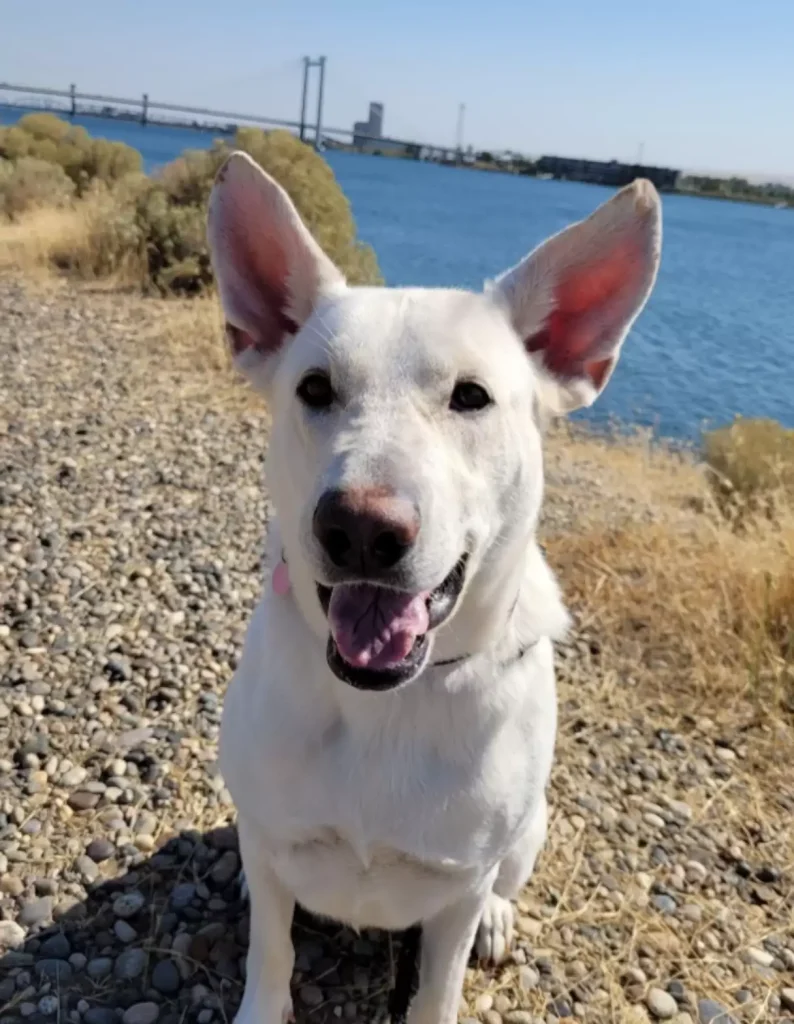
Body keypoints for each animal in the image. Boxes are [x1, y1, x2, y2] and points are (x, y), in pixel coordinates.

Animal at [207, 153, 659, 1024]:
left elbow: (436, 985)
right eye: (314, 389)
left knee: (504, 885)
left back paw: (499, 918)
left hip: (528, 831)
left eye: (471, 396)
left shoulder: (458, 881)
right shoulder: (275, 846)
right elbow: (271, 951)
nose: (360, 529)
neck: (386, 705)